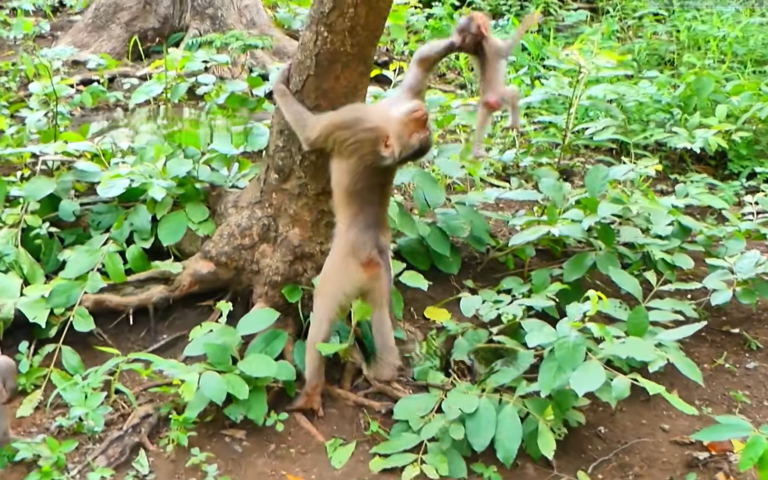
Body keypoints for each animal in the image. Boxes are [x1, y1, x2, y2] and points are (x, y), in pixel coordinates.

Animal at [453, 11, 543, 157]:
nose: (487, 17)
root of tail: (486, 97)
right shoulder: (493, 43)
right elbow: (507, 50)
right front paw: (528, 21)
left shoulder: (472, 45)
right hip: (500, 97)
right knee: (513, 92)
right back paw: (514, 125)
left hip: (487, 105)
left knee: (482, 121)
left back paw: (476, 150)